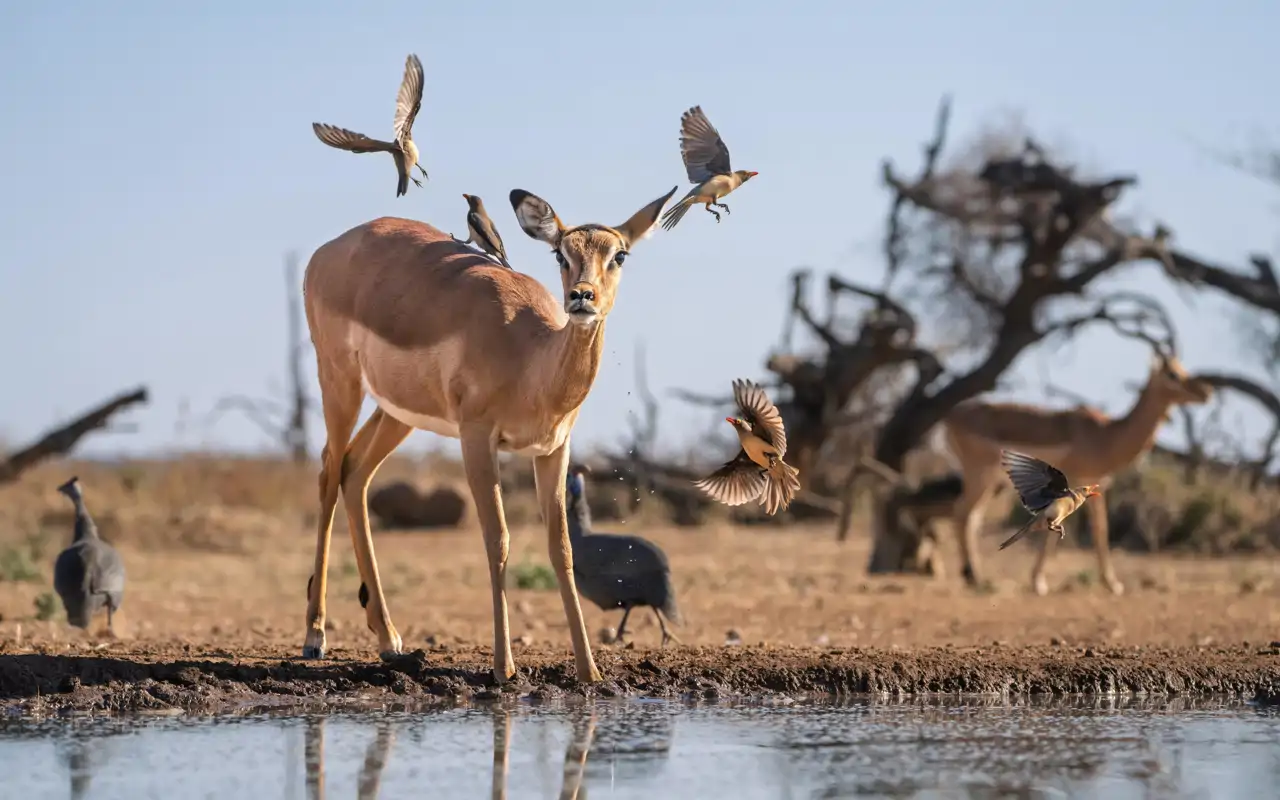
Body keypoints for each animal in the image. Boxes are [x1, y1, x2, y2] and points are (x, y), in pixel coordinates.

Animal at [300, 185, 679, 685]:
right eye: (560, 253)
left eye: (619, 254)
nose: (582, 297)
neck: (529, 357)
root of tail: (328, 251)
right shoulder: (476, 437)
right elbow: (497, 538)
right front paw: (504, 668)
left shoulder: (553, 451)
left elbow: (561, 549)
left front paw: (589, 671)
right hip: (340, 381)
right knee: (327, 474)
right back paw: (315, 636)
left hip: (396, 412)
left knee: (354, 473)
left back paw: (389, 639)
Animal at [941, 352, 1212, 596]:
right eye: (1172, 373)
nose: (1206, 393)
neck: (1107, 434)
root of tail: (952, 416)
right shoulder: (1079, 482)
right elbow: (1085, 532)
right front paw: (1042, 583)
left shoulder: (1098, 483)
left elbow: (1099, 529)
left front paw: (1109, 583)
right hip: (980, 476)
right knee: (962, 513)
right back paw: (975, 577)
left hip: (989, 483)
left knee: (972, 517)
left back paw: (974, 576)